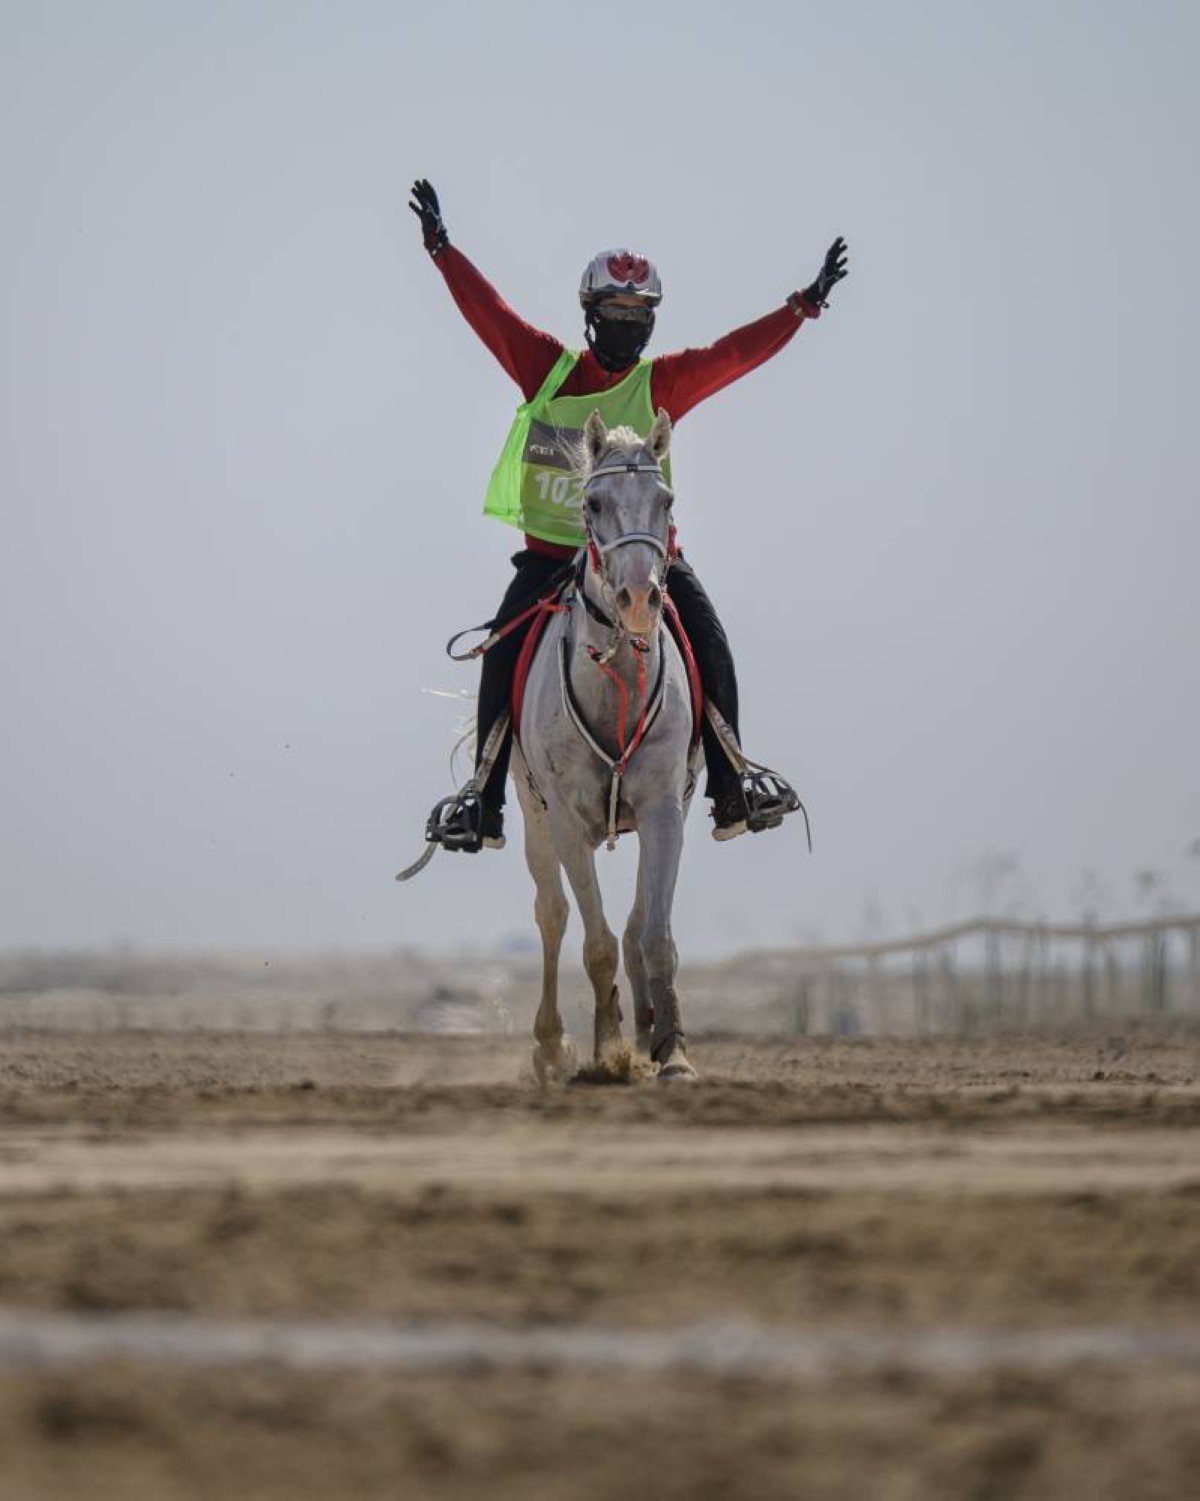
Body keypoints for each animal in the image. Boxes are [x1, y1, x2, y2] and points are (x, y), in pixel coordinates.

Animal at [510, 408, 699, 1080]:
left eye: (666, 500)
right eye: (592, 504)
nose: (639, 600)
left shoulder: (666, 810)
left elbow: (656, 936)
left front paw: (671, 1052)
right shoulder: (565, 820)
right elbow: (594, 945)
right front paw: (606, 1049)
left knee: (636, 923)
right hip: (535, 820)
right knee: (552, 915)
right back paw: (552, 1046)